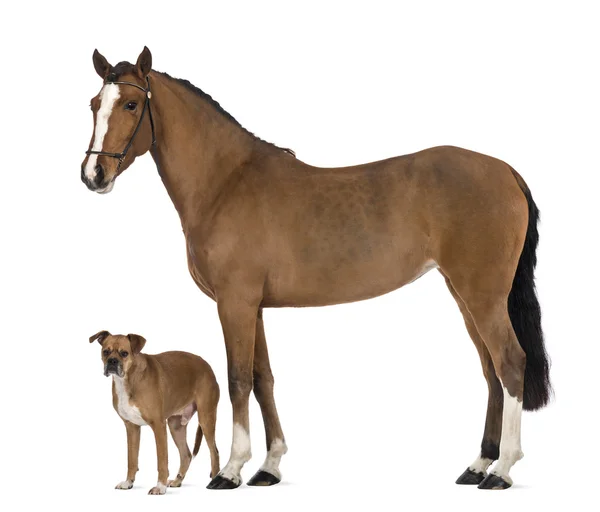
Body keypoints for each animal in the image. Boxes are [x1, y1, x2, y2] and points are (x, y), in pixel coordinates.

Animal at [89, 330, 220, 494]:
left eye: (124, 353)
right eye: (105, 351)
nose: (112, 361)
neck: (129, 378)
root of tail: (207, 365)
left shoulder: (158, 426)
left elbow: (162, 460)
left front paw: (160, 486)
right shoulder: (132, 428)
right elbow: (132, 459)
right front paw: (128, 482)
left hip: (206, 419)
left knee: (214, 452)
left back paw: (214, 480)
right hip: (175, 426)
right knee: (186, 455)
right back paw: (177, 481)